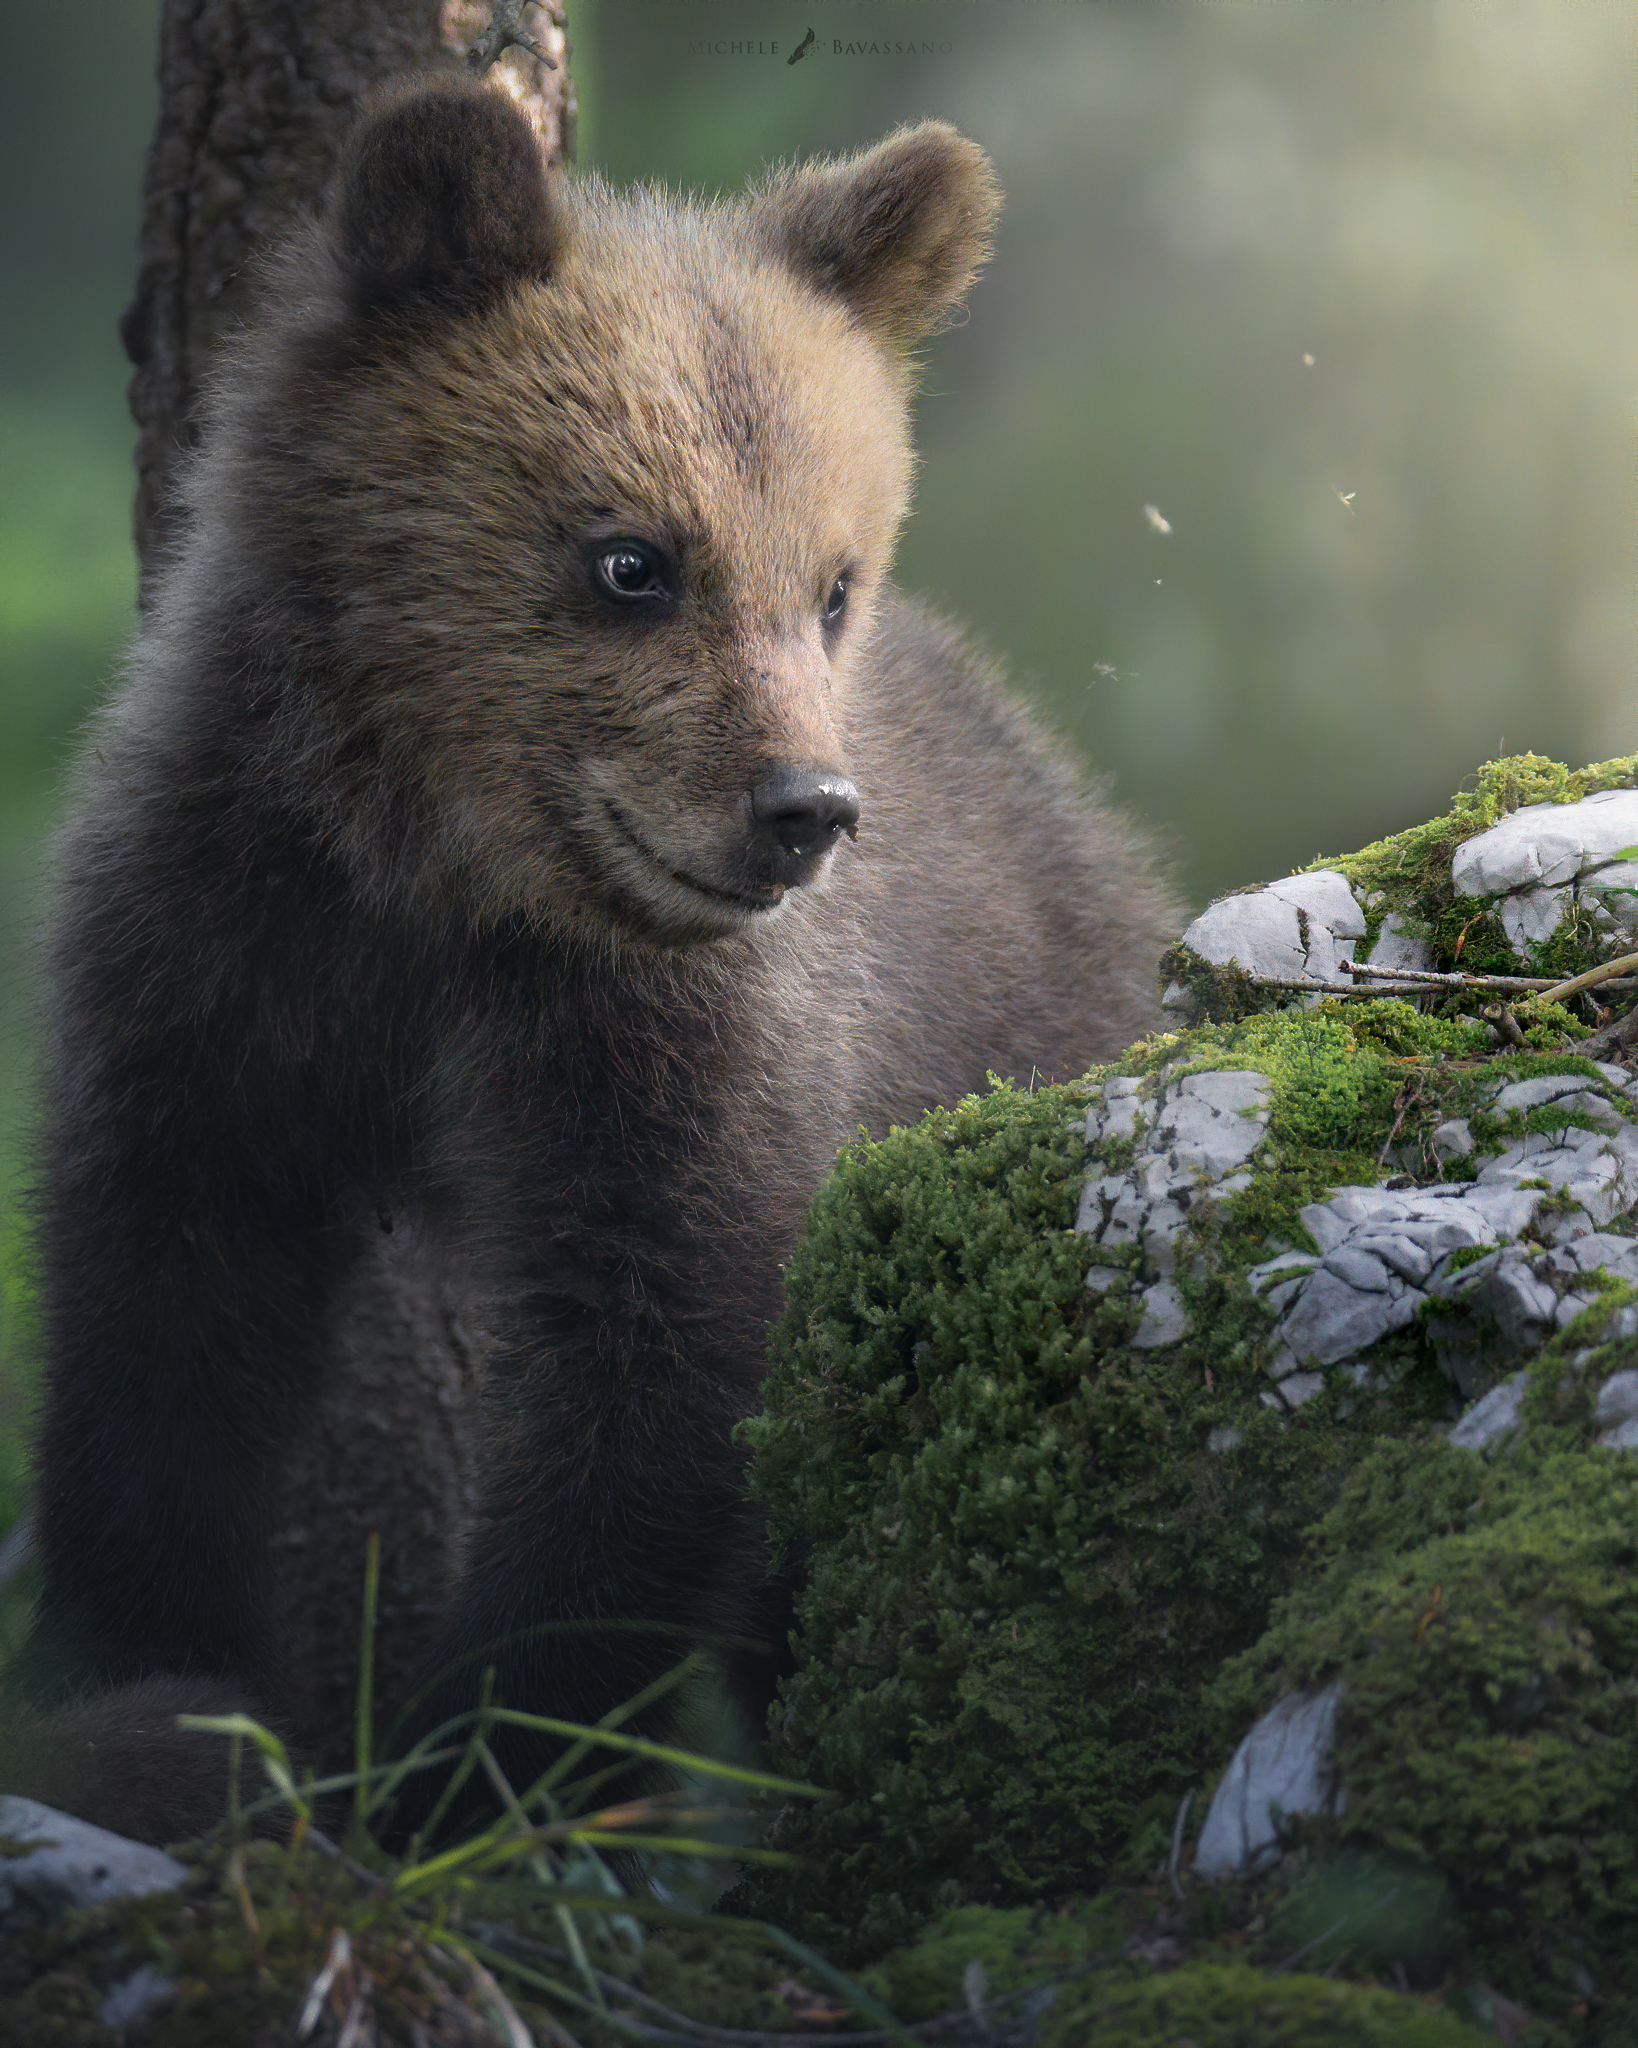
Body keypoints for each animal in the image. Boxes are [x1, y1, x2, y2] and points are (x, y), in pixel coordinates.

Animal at [20, 75, 1176, 1846]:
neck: (436, 870)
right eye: (631, 557)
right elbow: (164, 1318)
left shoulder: (663, 1032)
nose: (800, 812)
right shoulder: (224, 945)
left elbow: (659, 1366)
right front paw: (161, 1681)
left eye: (830, 582)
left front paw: (463, 1766)